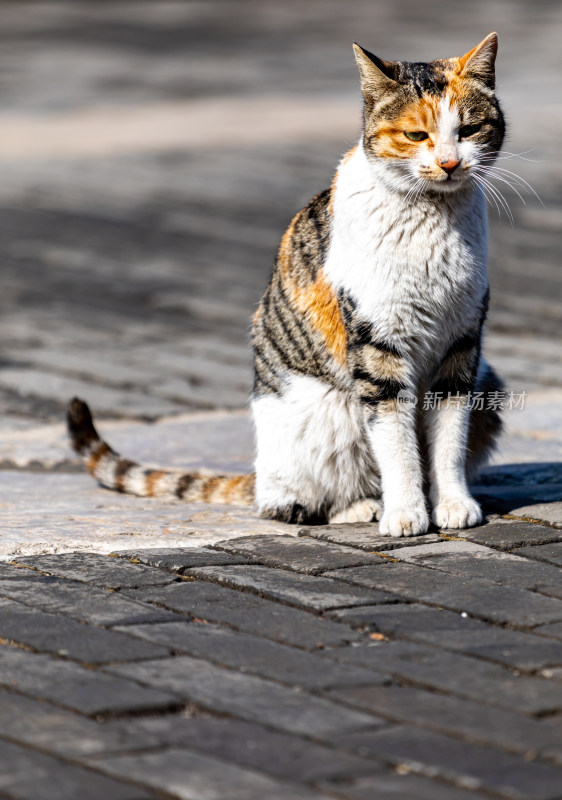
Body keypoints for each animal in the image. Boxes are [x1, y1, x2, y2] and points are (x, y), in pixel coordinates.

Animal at [66, 34, 504, 540]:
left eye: (469, 130)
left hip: (489, 387)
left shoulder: (462, 345)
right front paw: (405, 513)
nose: (450, 163)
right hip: (324, 418)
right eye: (416, 136)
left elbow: (448, 438)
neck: (433, 219)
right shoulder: (376, 347)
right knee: (287, 504)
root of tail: (258, 475)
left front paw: (453, 505)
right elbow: (395, 442)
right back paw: (362, 506)